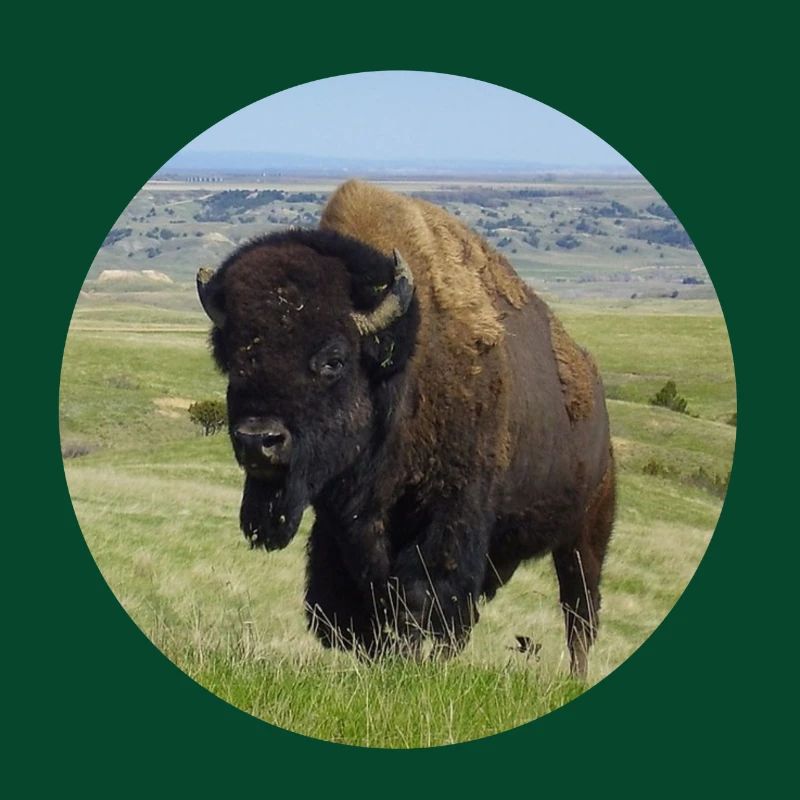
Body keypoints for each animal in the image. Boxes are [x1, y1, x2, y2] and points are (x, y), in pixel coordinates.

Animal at [196, 180, 615, 677]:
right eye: (235, 358)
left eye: (334, 359)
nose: (259, 440)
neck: (401, 367)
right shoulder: (348, 526)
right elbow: (364, 598)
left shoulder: (449, 513)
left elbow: (421, 592)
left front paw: (410, 660)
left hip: (585, 534)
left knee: (579, 612)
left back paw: (575, 675)